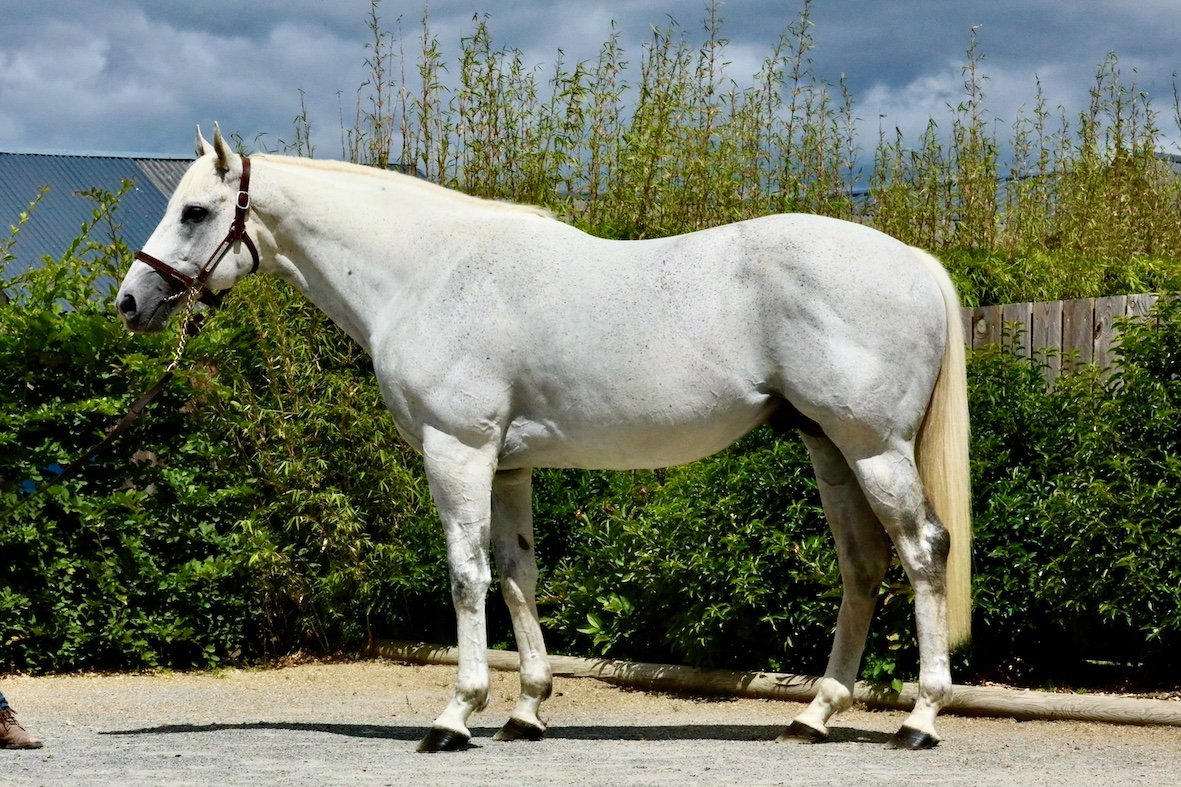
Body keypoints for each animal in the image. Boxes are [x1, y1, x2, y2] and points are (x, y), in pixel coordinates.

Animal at [116, 125, 971, 752]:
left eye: (195, 211)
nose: (131, 301)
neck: (428, 271)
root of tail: (912, 259)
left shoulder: (456, 450)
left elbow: (466, 576)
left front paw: (455, 715)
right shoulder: (507, 466)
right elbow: (516, 574)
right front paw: (526, 709)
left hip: (872, 448)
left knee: (922, 551)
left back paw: (918, 720)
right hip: (829, 449)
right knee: (861, 566)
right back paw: (814, 714)